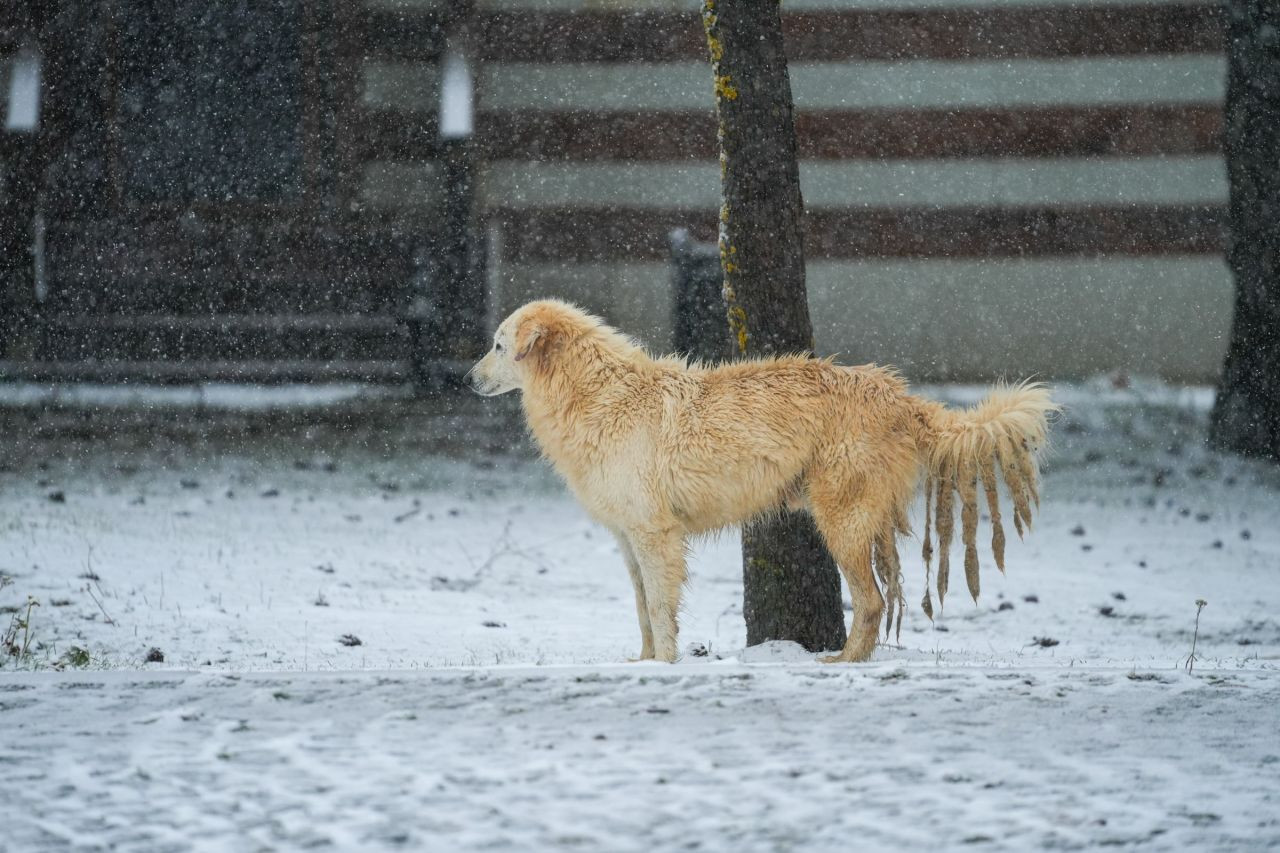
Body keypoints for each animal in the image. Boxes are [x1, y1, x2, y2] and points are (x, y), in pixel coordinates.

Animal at [471, 298, 1049, 666]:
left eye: (498, 345)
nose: (465, 378)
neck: (596, 394)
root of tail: (902, 396)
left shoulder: (656, 535)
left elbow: (658, 607)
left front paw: (663, 665)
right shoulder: (629, 538)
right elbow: (641, 609)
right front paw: (642, 661)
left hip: (841, 520)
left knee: (872, 603)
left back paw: (843, 662)